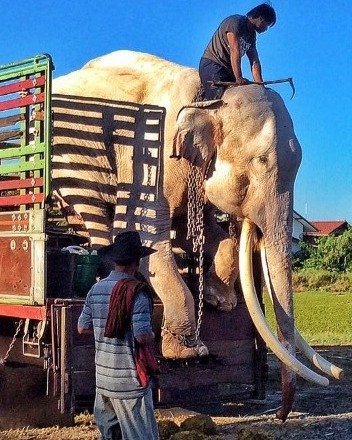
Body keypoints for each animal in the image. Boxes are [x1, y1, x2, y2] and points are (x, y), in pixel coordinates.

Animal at [51, 50, 342, 420]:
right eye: (260, 162)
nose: (279, 414)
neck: (210, 99)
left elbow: (209, 235)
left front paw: (222, 302)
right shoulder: (152, 155)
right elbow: (148, 233)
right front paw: (190, 352)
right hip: (72, 161)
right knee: (98, 220)